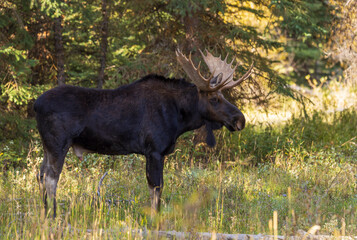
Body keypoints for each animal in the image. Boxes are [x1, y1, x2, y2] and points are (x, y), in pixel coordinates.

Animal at [34, 48, 253, 218]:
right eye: (215, 99)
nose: (240, 119)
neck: (179, 117)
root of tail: (35, 105)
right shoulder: (154, 150)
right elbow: (156, 187)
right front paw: (155, 219)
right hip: (58, 143)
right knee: (51, 177)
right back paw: (53, 215)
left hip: (47, 146)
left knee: (41, 175)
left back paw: (44, 214)